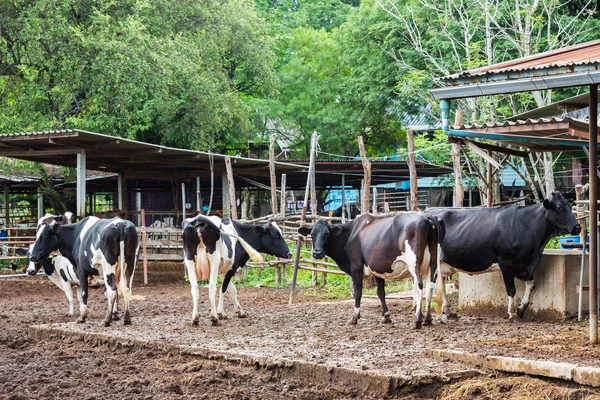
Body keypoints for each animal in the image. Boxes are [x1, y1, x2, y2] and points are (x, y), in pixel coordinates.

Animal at [300, 216, 446, 328]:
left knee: (420, 287)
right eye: (312, 234)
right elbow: (381, 293)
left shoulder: (356, 267)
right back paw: (427, 319)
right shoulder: (378, 270)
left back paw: (417, 320)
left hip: (414, 264)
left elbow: (357, 293)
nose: (317, 252)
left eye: (327, 234)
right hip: (432, 264)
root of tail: (426, 218)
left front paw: (354, 318)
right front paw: (386, 317)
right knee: (430, 287)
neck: (351, 234)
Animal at [426, 191, 580, 322]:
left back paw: (449, 312)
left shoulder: (526, 264)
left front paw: (521, 309)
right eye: (559, 207)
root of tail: (429, 211)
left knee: (441, 285)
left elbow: (531, 285)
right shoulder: (506, 262)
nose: (577, 227)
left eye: (570, 206)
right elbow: (511, 290)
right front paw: (512, 313)